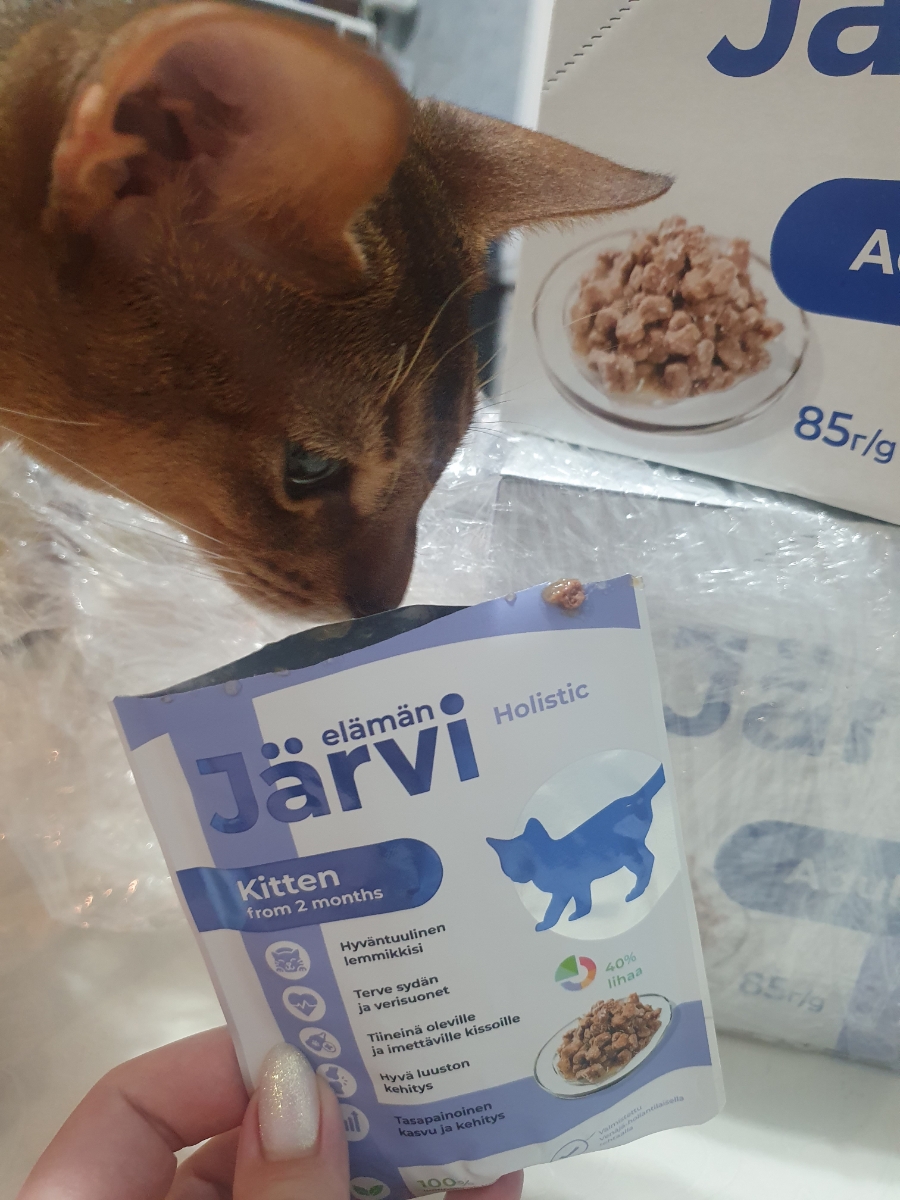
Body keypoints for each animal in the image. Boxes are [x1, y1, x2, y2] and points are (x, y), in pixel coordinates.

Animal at [486, 764, 666, 932]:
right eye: (513, 861)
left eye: (529, 856)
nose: (522, 872)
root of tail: (634, 797)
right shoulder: (575, 887)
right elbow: (577, 903)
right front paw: (575, 917)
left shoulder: (571, 886)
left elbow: (557, 908)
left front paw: (555, 921)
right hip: (634, 848)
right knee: (650, 857)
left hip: (625, 853)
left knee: (644, 865)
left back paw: (636, 892)